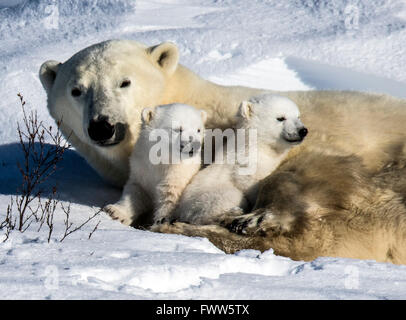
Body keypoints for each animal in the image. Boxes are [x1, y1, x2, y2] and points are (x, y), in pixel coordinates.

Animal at [171, 94, 308, 225]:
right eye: (281, 118)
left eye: (298, 116)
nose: (303, 131)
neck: (257, 144)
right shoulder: (244, 164)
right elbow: (246, 183)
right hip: (207, 196)